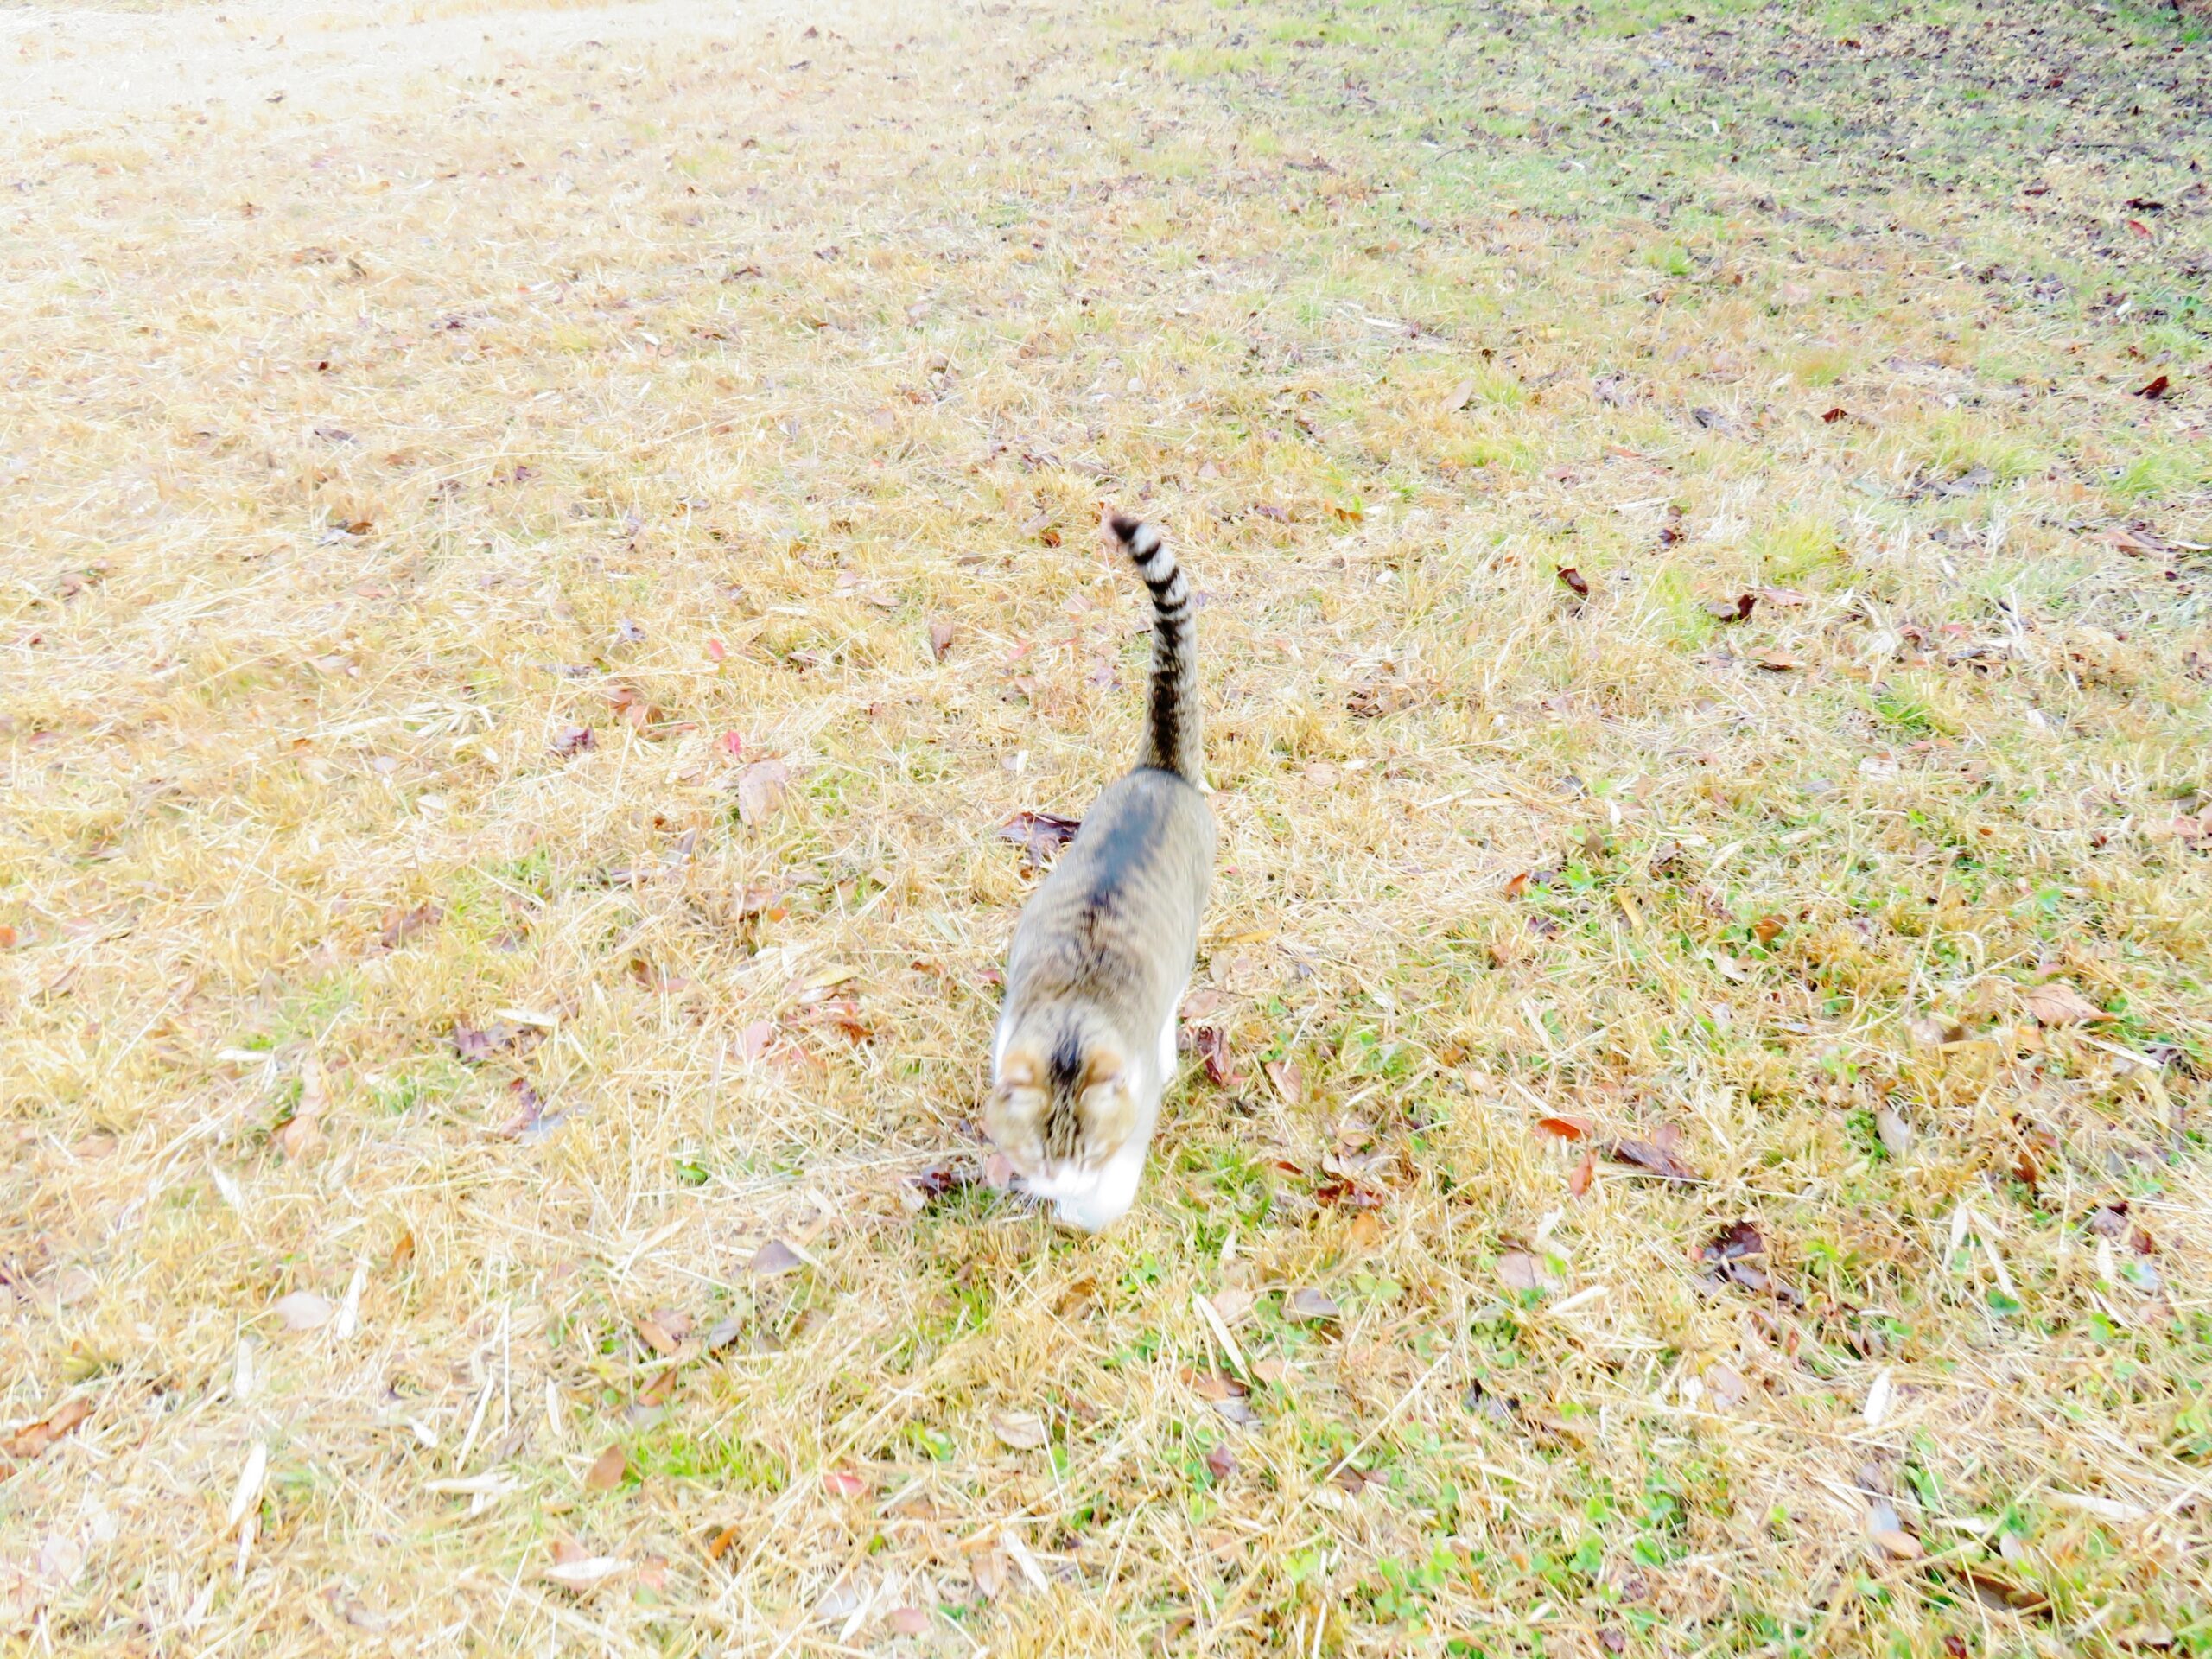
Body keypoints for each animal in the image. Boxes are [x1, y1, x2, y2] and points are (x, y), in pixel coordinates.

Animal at [990, 519, 1221, 1238]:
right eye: (1040, 1152)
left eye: (1088, 1152)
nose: (1060, 1180)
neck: (1070, 1024)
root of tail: (1159, 772)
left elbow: (1111, 1193)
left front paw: (1077, 1209)